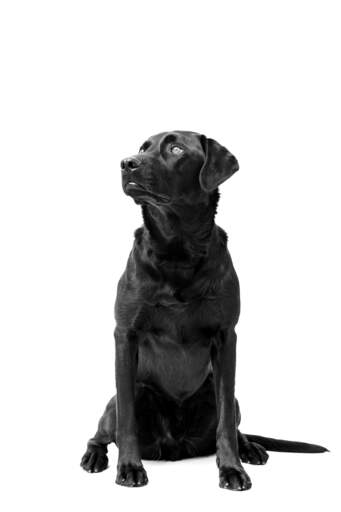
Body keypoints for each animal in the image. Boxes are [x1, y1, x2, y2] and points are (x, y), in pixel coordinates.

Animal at [80, 130, 326, 490]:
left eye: (176, 148)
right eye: (143, 148)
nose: (127, 163)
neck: (177, 248)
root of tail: (177, 447)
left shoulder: (226, 338)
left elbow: (226, 423)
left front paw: (232, 468)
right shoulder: (124, 335)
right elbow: (127, 420)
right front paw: (129, 467)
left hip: (222, 393)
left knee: (233, 423)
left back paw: (251, 448)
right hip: (123, 396)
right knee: (102, 431)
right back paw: (95, 457)